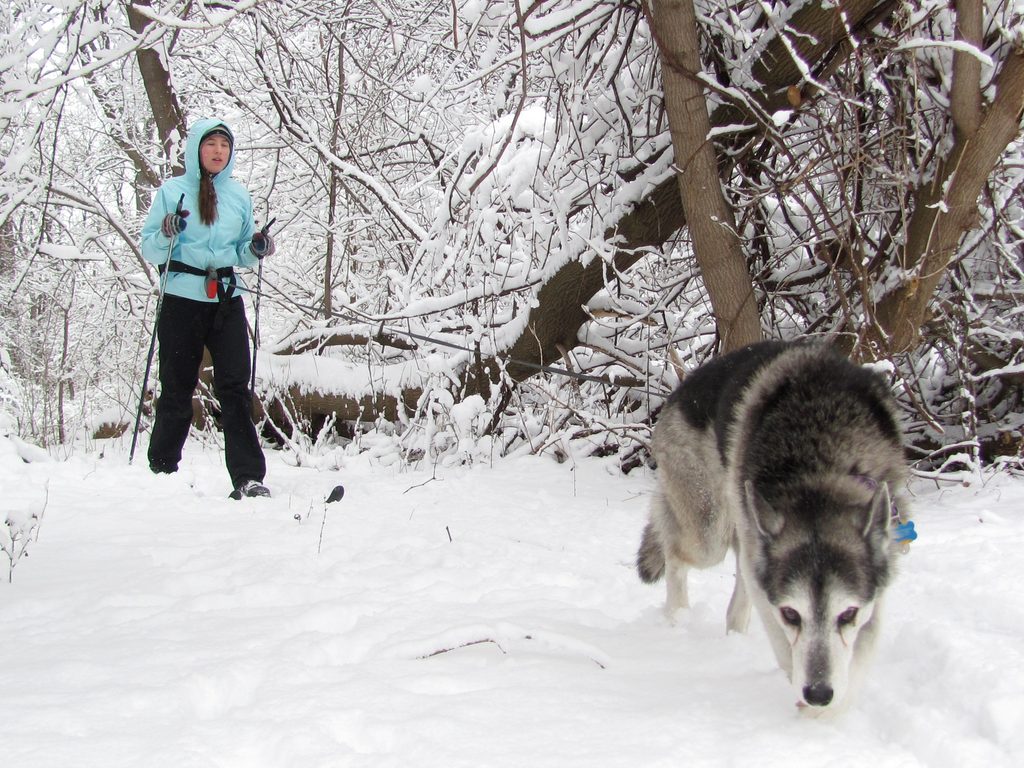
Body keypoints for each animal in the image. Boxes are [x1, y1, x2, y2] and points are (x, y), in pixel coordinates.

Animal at [634, 342, 909, 716]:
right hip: (710, 533)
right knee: (673, 549)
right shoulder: (771, 597)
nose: (818, 693)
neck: (819, 471)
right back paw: (678, 618)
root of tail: (683, 386)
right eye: (791, 614)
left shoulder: (875, 589)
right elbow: (787, 652)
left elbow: (860, 658)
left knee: (733, 602)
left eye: (848, 613)